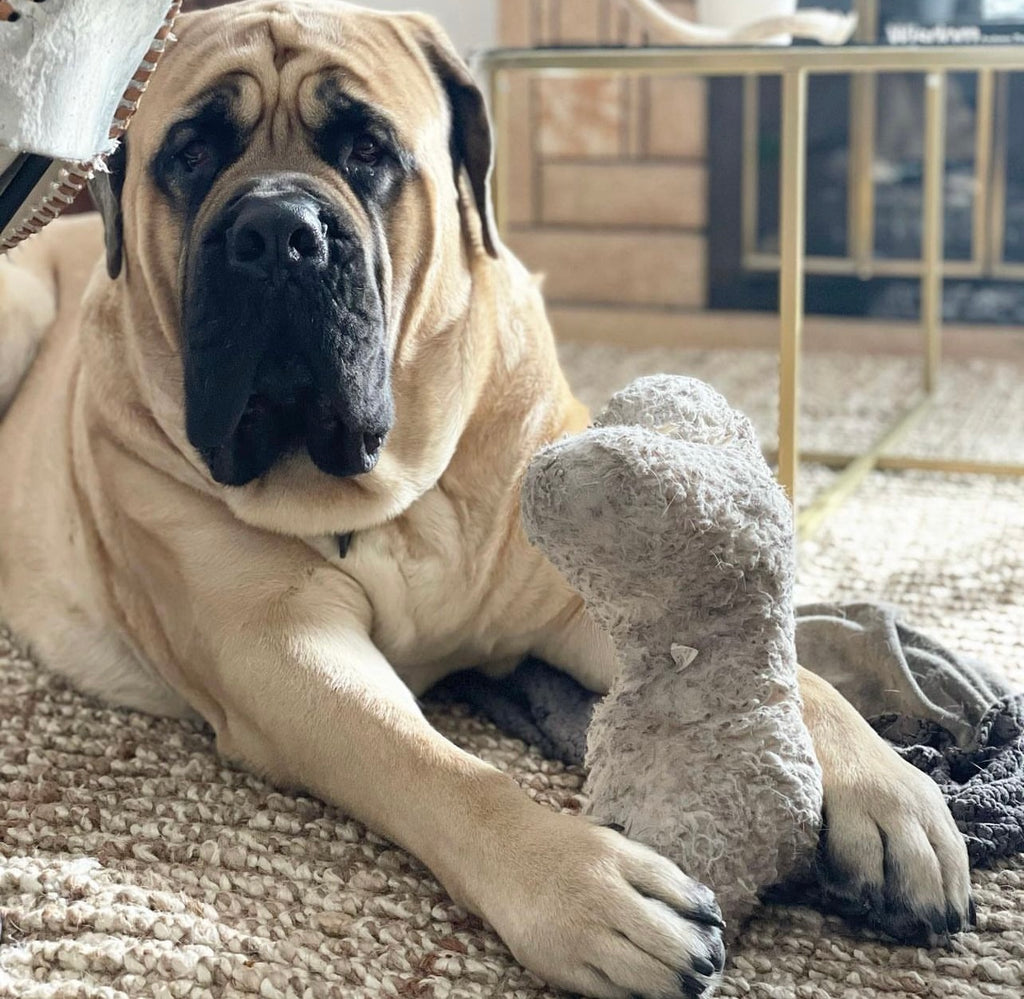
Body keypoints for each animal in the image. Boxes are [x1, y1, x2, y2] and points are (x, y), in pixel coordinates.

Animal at [0, 3, 970, 994]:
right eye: (192, 154)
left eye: (369, 149)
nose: (277, 231)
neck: (391, 492)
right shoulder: (275, 647)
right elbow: (436, 765)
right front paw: (585, 884)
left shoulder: (581, 593)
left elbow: (791, 667)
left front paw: (885, 783)